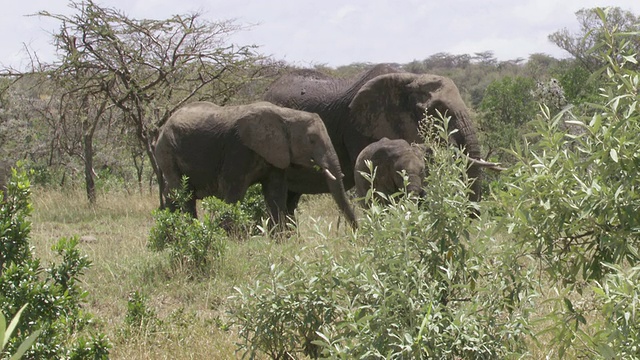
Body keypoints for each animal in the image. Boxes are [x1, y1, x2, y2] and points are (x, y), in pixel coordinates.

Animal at [153, 100, 358, 228]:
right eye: (312, 140)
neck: (286, 114)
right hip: (167, 150)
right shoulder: (238, 149)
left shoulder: (276, 154)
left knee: (172, 194)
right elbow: (232, 192)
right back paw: (190, 229)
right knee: (184, 193)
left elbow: (275, 193)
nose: (357, 235)